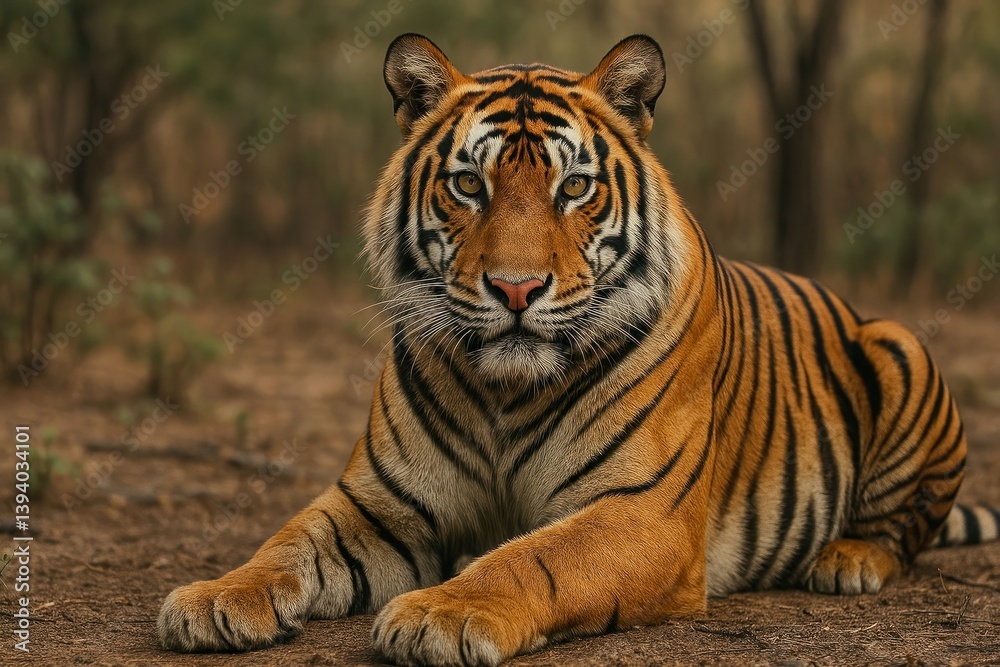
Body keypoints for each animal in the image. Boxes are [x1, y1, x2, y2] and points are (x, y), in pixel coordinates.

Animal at [158, 34, 1000, 666]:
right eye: (469, 184)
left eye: (573, 188)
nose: (517, 289)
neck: (502, 392)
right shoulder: (382, 501)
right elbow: (287, 543)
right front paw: (210, 598)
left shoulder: (640, 511)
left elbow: (535, 556)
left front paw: (442, 611)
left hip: (899, 344)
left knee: (904, 533)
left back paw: (845, 559)